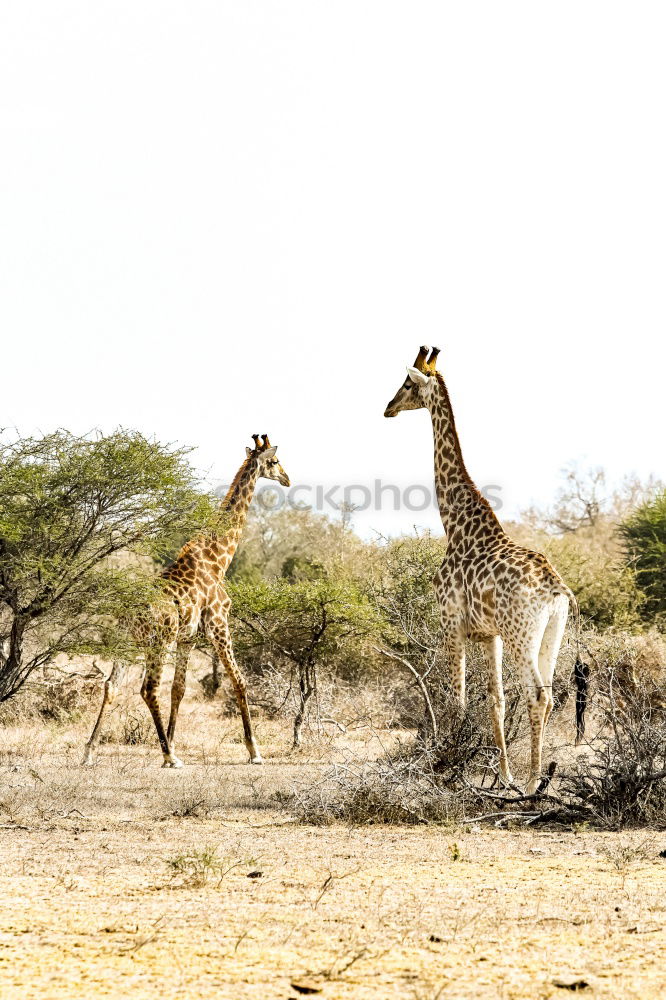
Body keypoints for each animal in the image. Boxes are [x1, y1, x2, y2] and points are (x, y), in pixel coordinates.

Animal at [81, 434, 290, 768]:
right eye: (274, 461)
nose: (287, 479)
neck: (219, 559)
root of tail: (129, 612)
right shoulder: (219, 624)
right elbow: (239, 681)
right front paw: (254, 750)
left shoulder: (188, 637)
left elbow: (178, 689)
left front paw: (172, 742)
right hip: (158, 641)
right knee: (148, 689)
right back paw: (170, 755)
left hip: (128, 643)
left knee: (112, 685)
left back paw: (91, 751)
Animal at [384, 348, 580, 792]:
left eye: (406, 384)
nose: (387, 408)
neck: (456, 525)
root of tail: (556, 590)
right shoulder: (491, 635)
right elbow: (496, 699)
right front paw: (502, 775)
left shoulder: (450, 622)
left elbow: (456, 698)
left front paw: (452, 766)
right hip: (550, 634)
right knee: (547, 695)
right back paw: (532, 779)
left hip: (523, 633)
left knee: (537, 694)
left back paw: (534, 783)